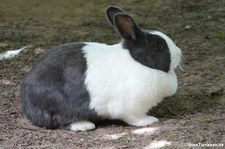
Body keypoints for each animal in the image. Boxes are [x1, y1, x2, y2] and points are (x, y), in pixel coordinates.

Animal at [21, 6, 182, 132]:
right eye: (157, 45)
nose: (179, 52)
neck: (138, 62)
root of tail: (27, 104)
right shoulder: (132, 107)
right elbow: (135, 118)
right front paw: (149, 120)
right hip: (61, 105)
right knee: (61, 121)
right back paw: (84, 125)